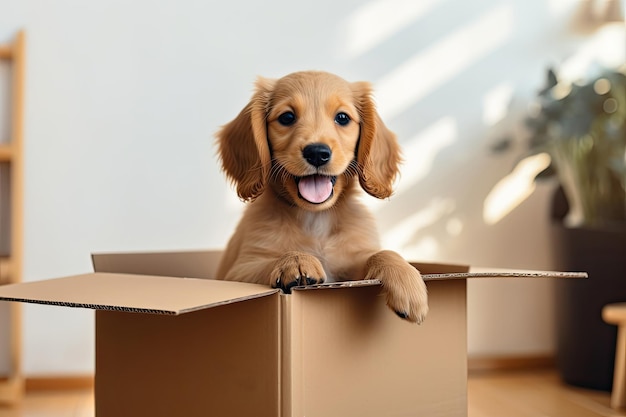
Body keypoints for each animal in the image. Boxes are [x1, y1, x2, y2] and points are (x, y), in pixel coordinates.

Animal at [213, 70, 424, 322]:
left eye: (342, 118)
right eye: (287, 117)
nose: (316, 153)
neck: (315, 219)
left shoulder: (350, 268)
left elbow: (382, 253)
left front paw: (408, 284)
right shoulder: (239, 270)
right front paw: (296, 260)